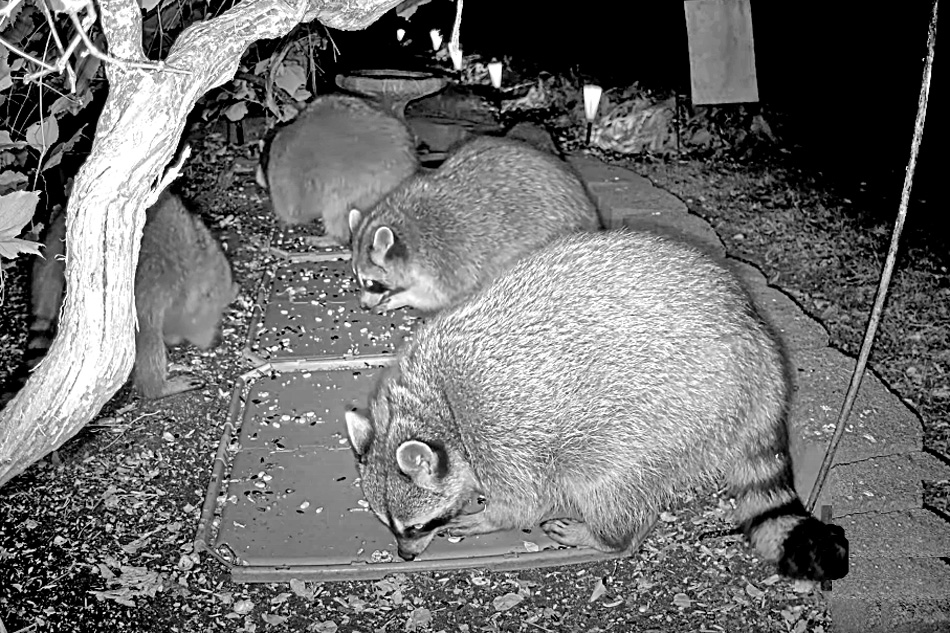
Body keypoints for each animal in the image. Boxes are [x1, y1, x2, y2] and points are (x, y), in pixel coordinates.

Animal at [346, 228, 852, 584]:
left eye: (418, 526)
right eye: (390, 525)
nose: (404, 555)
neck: (432, 406)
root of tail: (762, 350)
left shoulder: (500, 431)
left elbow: (524, 500)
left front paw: (492, 517)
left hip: (682, 409)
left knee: (607, 479)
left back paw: (611, 535)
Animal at [350, 135, 604, 312]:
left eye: (371, 283)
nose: (362, 305)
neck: (407, 226)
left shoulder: (447, 260)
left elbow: (440, 296)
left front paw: (403, 297)